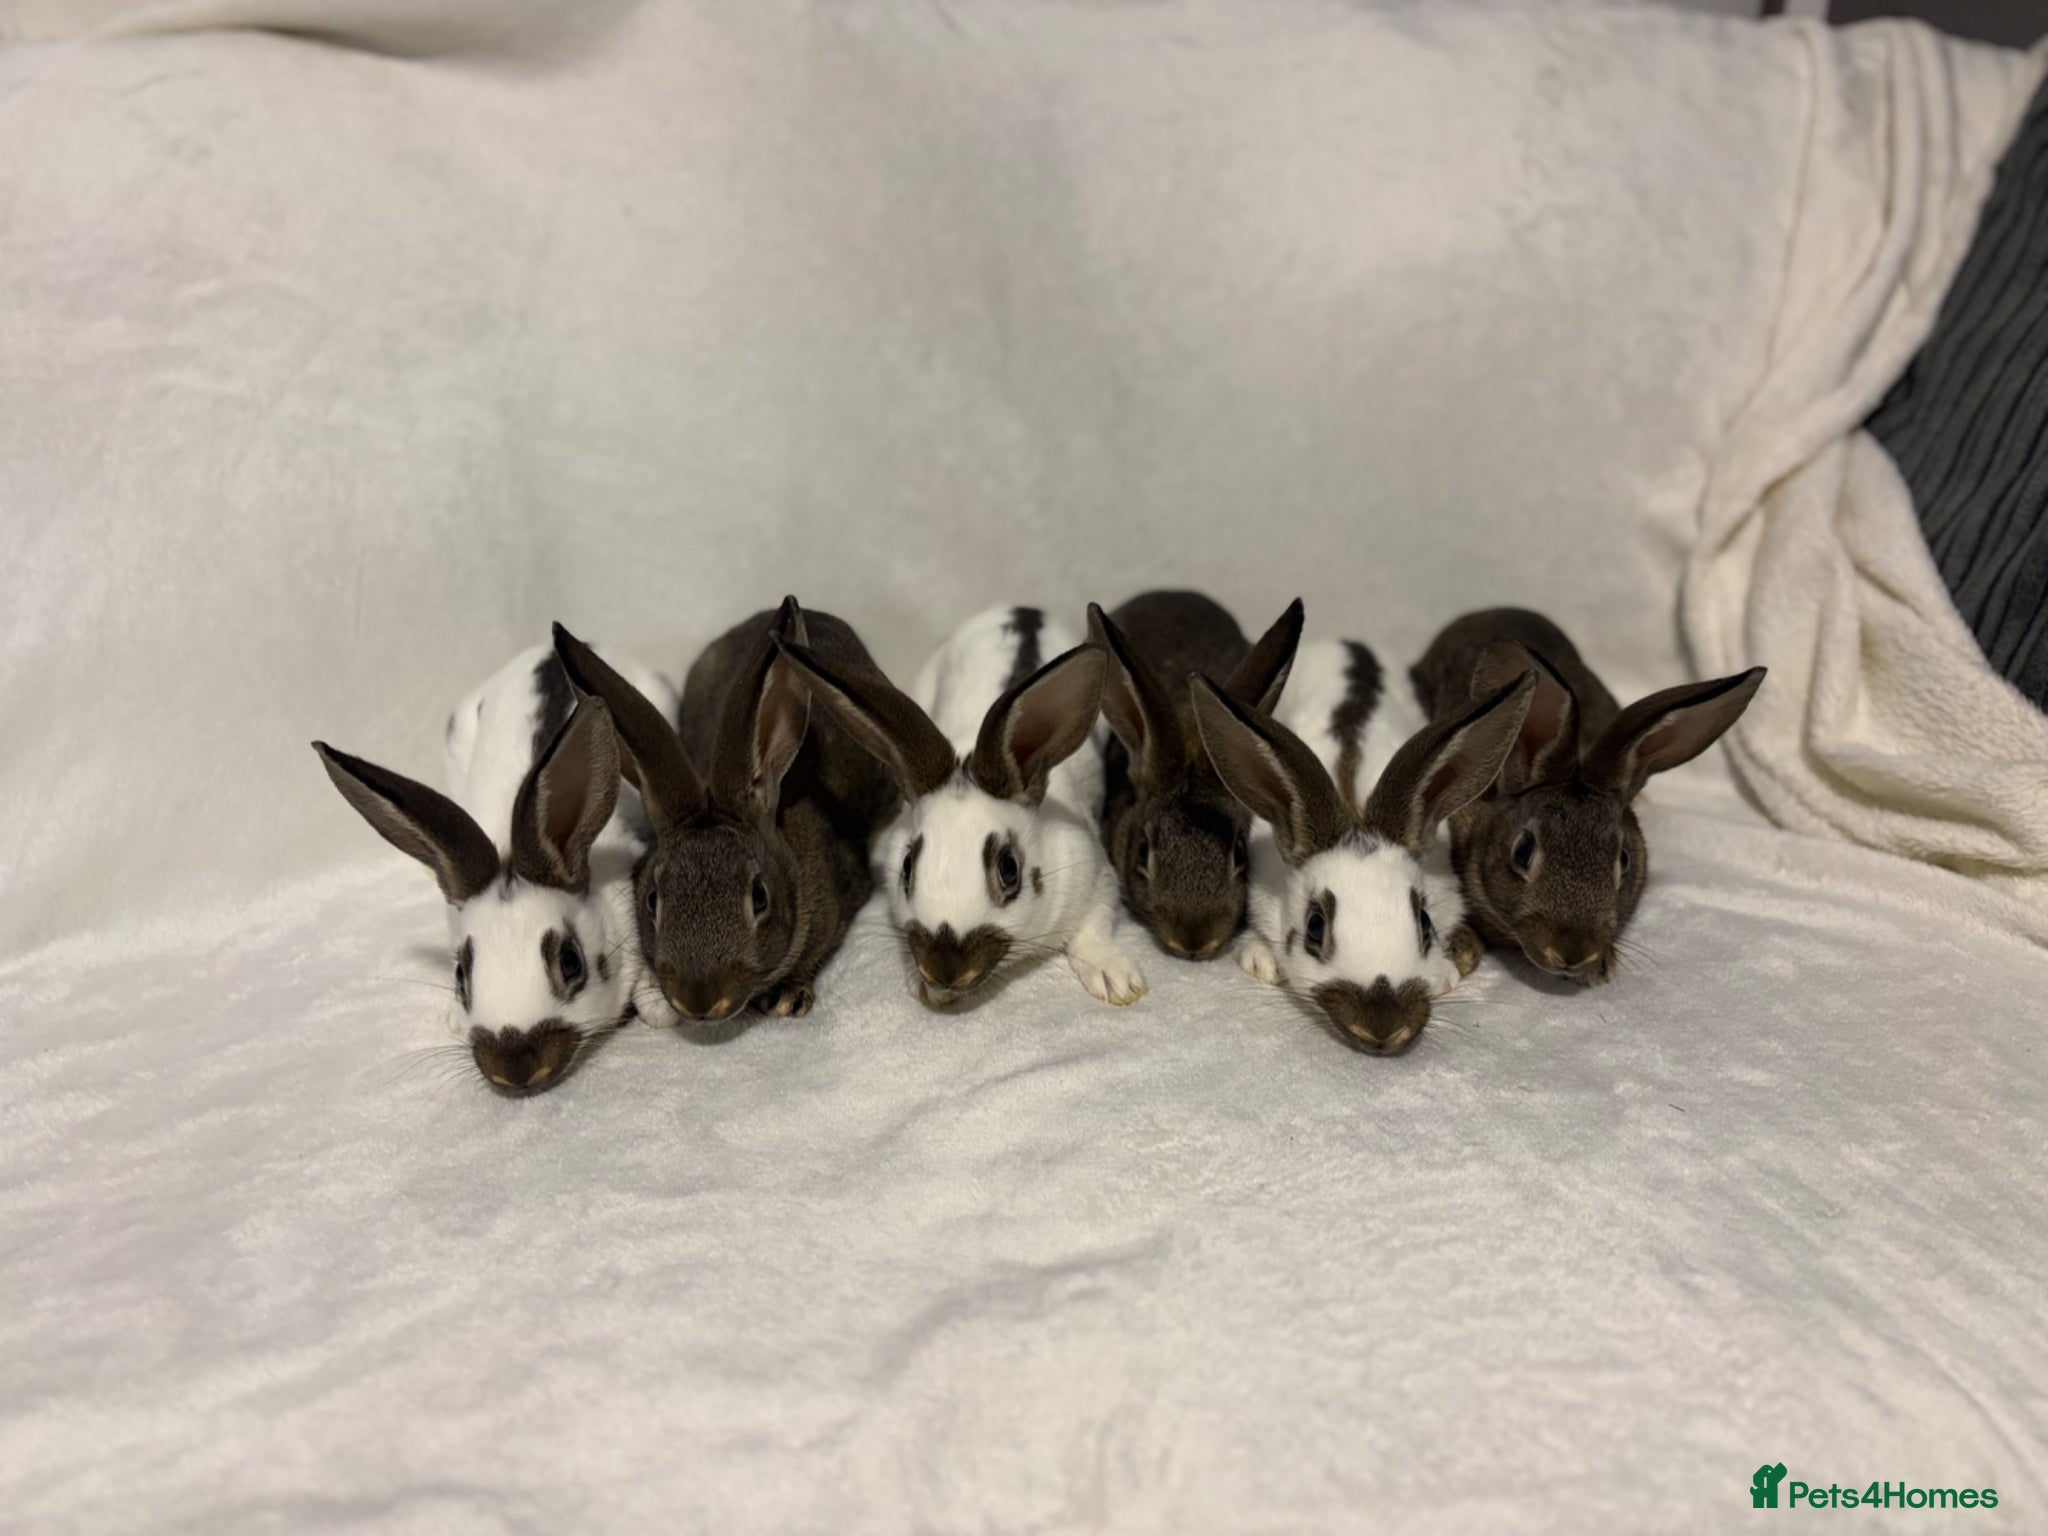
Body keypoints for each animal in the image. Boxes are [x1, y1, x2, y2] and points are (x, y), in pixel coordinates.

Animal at [774, 605, 1148, 1008]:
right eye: (907, 867)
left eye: (1009, 869)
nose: (944, 972)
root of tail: (1022, 609)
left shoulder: (1096, 875)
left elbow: (1092, 931)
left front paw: (1117, 981)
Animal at [1191, 650, 1537, 1055]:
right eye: (1315, 927)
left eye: (1425, 923)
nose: (1384, 1032)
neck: (1352, 801)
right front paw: (1260, 957)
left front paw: (1445, 974)